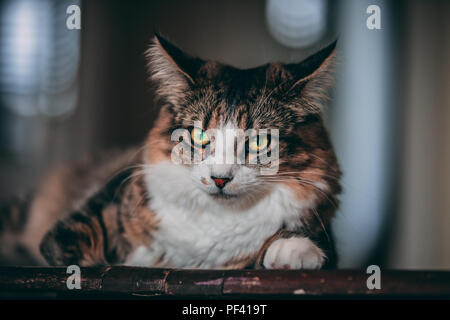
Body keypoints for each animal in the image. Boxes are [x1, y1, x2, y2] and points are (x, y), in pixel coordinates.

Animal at [0, 33, 342, 268]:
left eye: (259, 141)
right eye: (200, 135)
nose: (220, 179)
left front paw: (294, 251)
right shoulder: (74, 226)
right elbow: (88, 256)